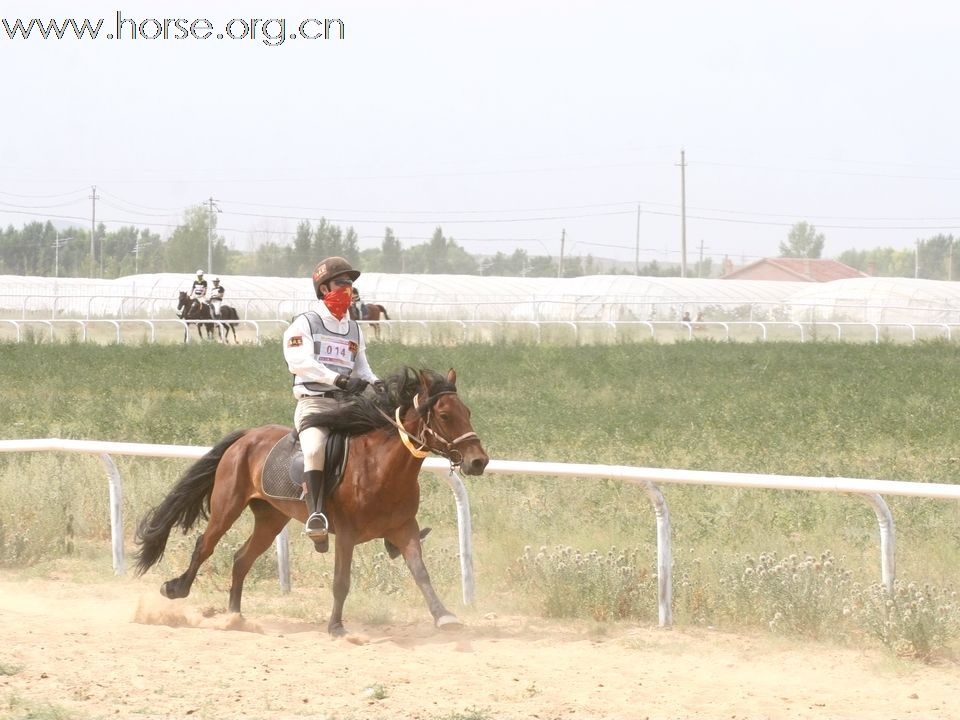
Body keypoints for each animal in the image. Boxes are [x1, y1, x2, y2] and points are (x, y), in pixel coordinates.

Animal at [132, 372, 492, 636]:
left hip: (271, 519)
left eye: (467, 412)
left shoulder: (404, 529)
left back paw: (235, 617)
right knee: (204, 545)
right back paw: (176, 589)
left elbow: (421, 574)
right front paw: (336, 627)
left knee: (241, 558)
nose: (479, 461)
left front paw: (444, 616)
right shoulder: (346, 534)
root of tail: (247, 436)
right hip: (226, 507)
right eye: (445, 415)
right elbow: (341, 582)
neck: (381, 467)